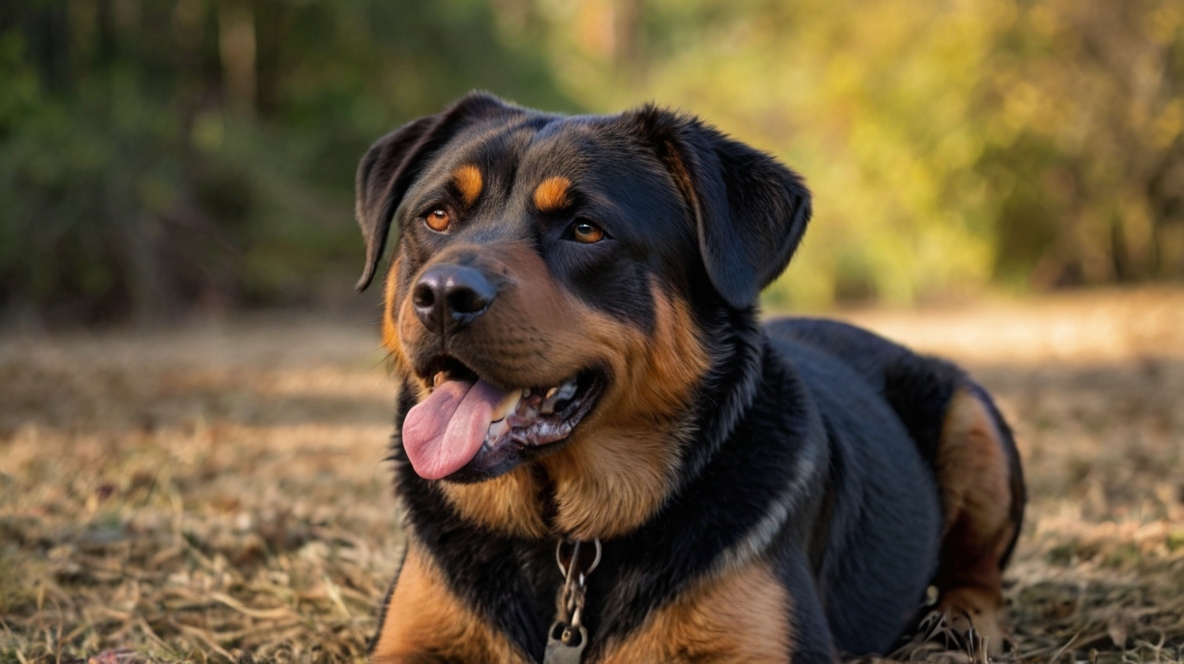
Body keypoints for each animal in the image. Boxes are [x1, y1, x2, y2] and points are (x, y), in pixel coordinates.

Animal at [352, 93, 1027, 662]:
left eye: (586, 229)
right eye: (437, 217)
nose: (444, 295)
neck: (566, 537)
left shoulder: (763, 645)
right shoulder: (411, 638)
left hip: (973, 422)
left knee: (981, 571)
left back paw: (963, 623)